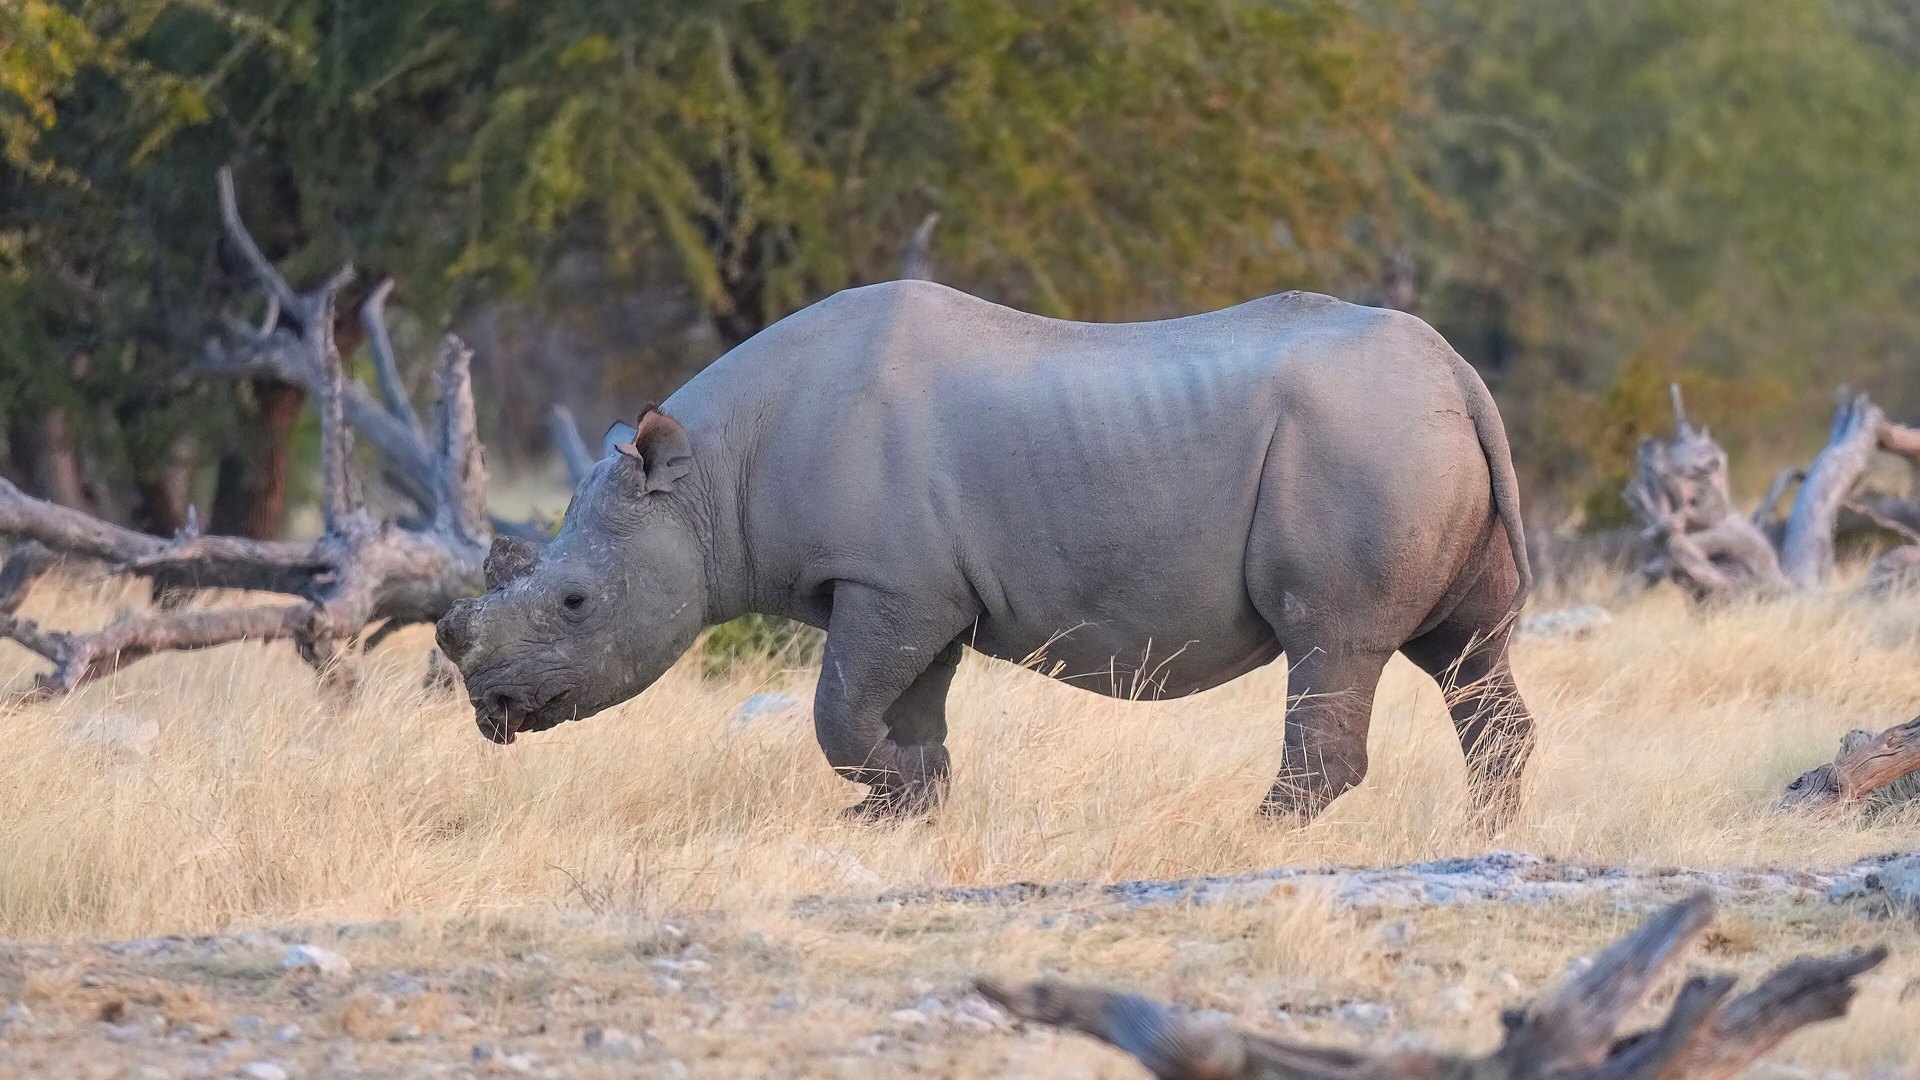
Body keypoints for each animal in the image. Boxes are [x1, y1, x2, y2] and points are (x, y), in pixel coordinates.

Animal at [436, 281, 1536, 822]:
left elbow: (839, 709)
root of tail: (1457, 372)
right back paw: (1483, 834)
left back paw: (1251, 832)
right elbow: (899, 705)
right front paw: (905, 804)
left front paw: (892, 792)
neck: (707, 480)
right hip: (1410, 437)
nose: (489, 711)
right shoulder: (915, 589)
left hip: (1363, 440)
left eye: (576, 603)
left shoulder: (890, 584)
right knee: (1466, 653)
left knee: (1332, 641)